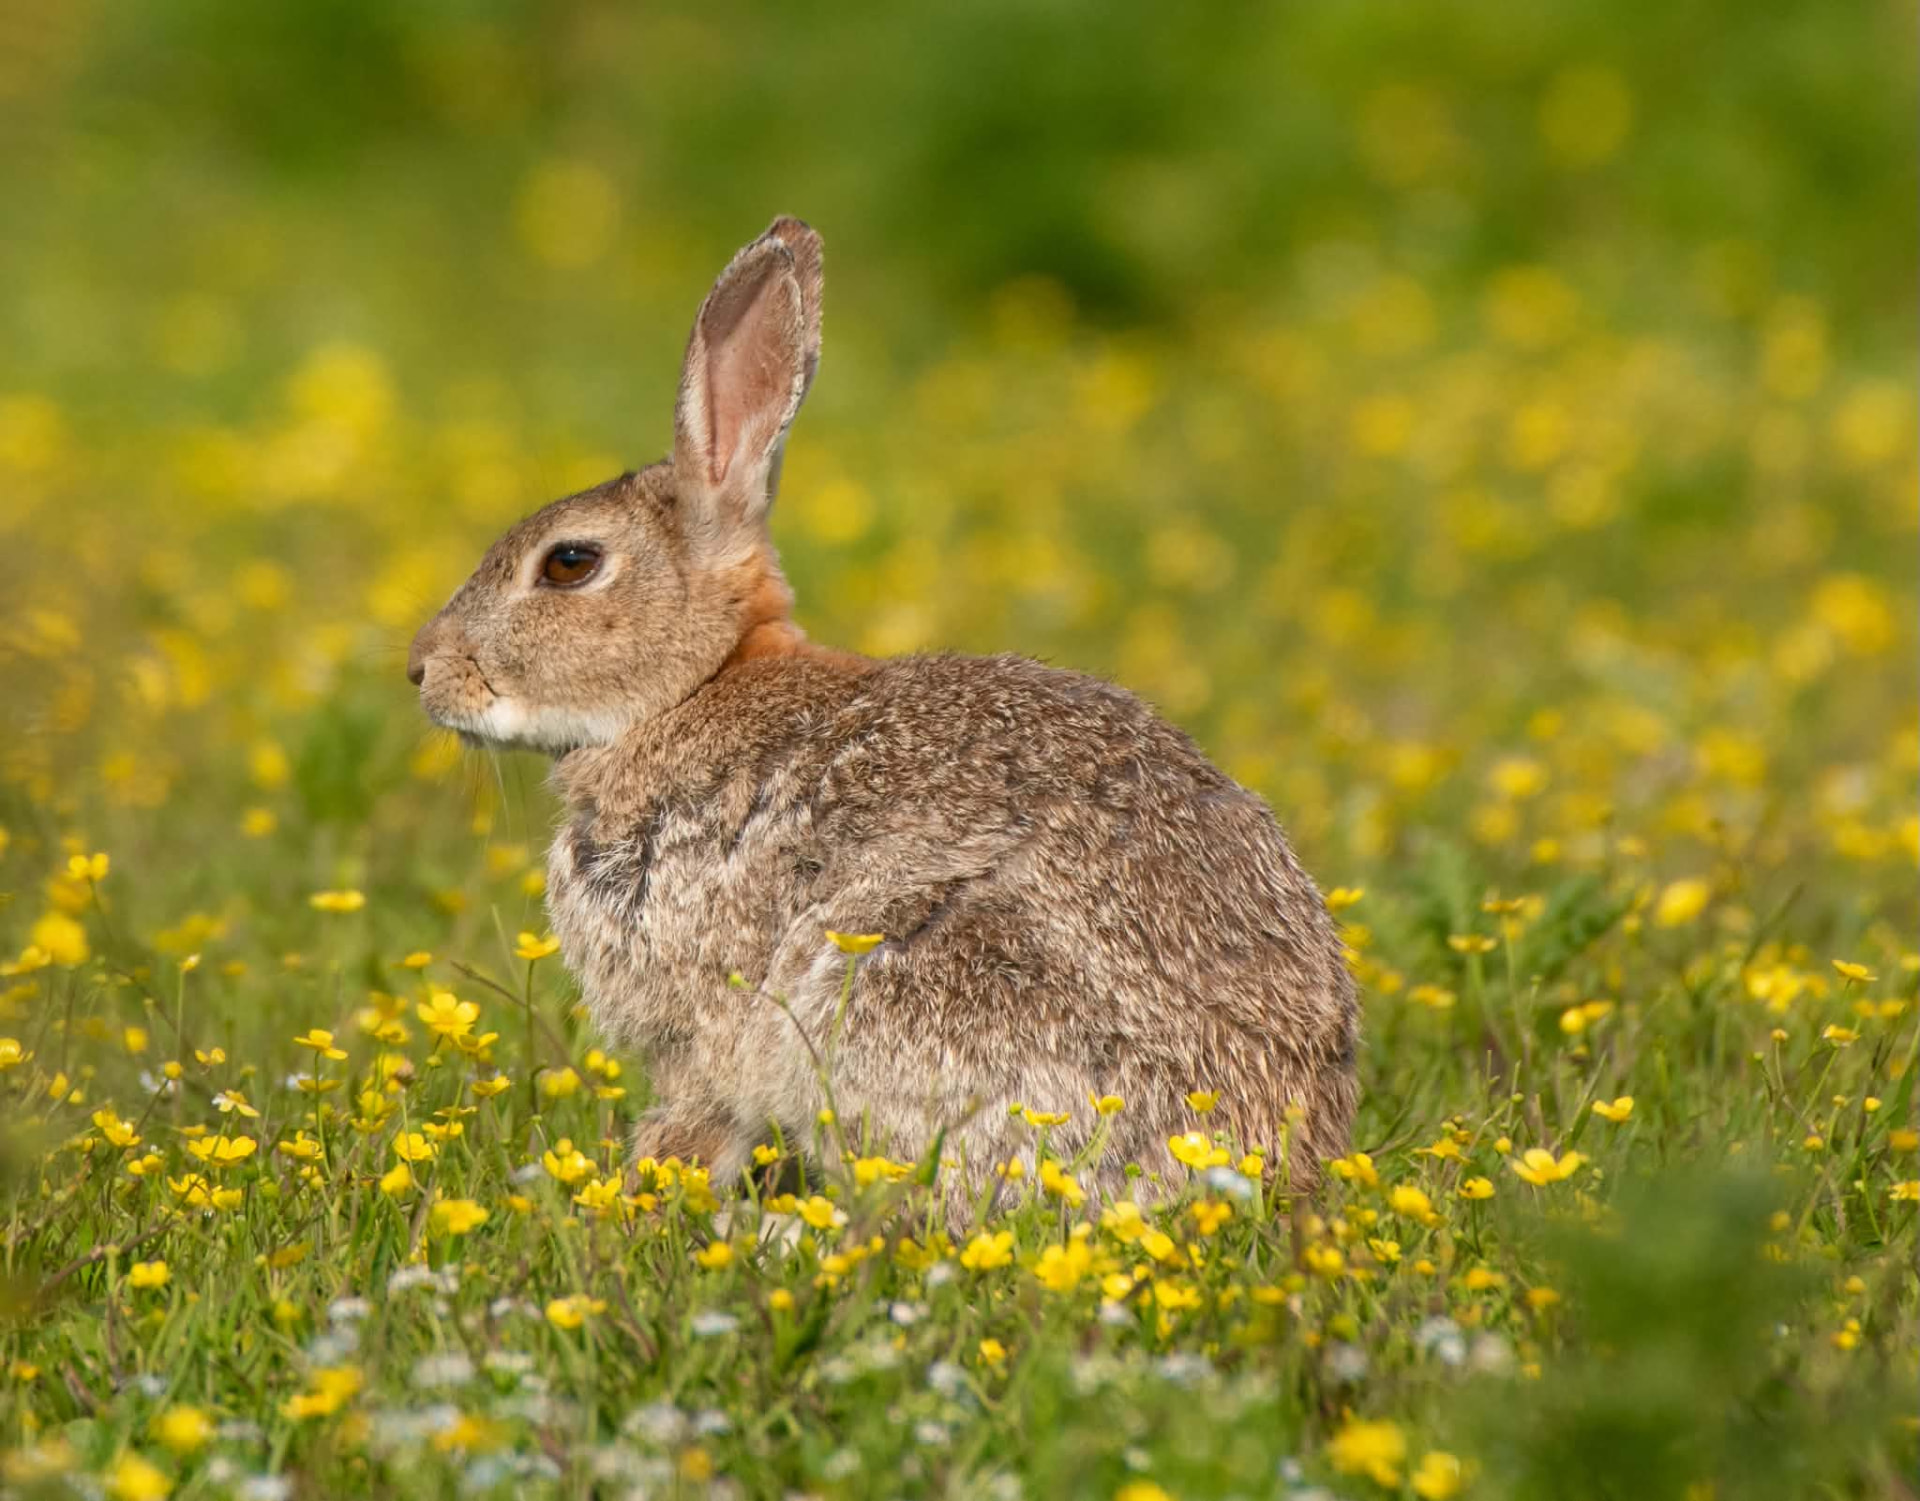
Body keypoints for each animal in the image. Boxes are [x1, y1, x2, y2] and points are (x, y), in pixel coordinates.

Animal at [408, 216, 1358, 1216]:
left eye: (569, 563)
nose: (423, 669)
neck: (692, 688)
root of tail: (1271, 1158)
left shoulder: (707, 1012)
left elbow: (697, 1116)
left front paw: (638, 1193)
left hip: (894, 982)